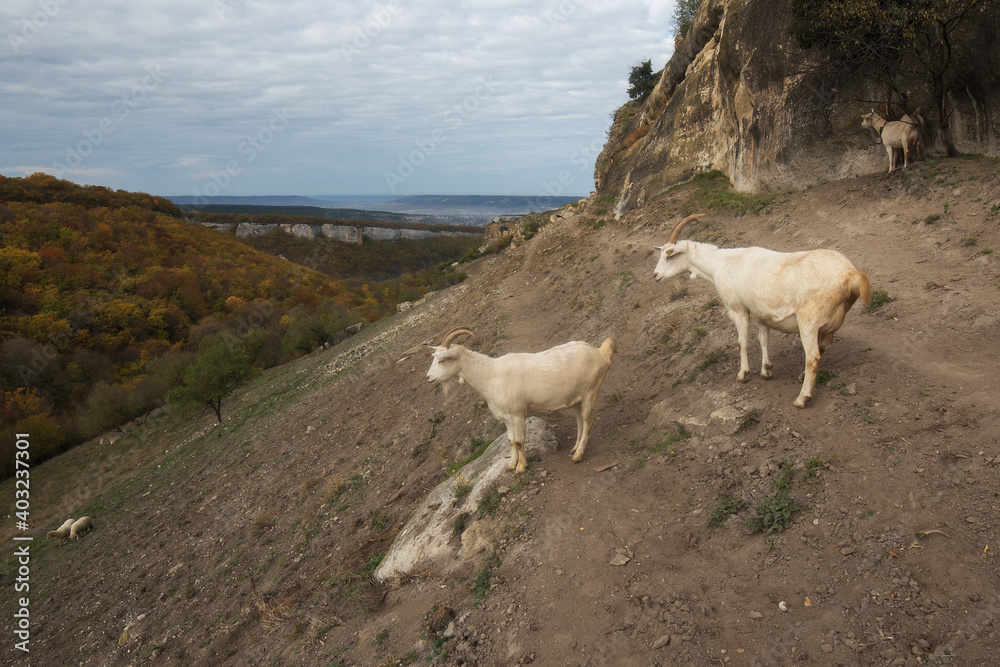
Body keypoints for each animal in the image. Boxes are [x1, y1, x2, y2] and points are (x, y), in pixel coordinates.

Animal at [426, 328, 616, 473]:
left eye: (442, 360)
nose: (428, 378)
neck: (491, 375)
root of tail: (601, 353)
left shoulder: (517, 415)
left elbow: (519, 441)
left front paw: (521, 467)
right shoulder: (507, 418)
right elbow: (511, 441)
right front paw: (511, 465)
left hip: (591, 392)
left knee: (589, 422)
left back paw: (578, 455)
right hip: (577, 399)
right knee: (580, 421)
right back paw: (575, 448)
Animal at [652, 214, 872, 407]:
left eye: (669, 256)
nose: (655, 276)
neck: (722, 264)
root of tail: (850, 275)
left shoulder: (738, 310)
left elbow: (742, 342)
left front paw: (743, 374)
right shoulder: (760, 312)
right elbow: (762, 339)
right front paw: (766, 370)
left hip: (809, 322)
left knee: (813, 358)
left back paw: (802, 399)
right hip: (825, 326)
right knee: (821, 350)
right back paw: (802, 378)